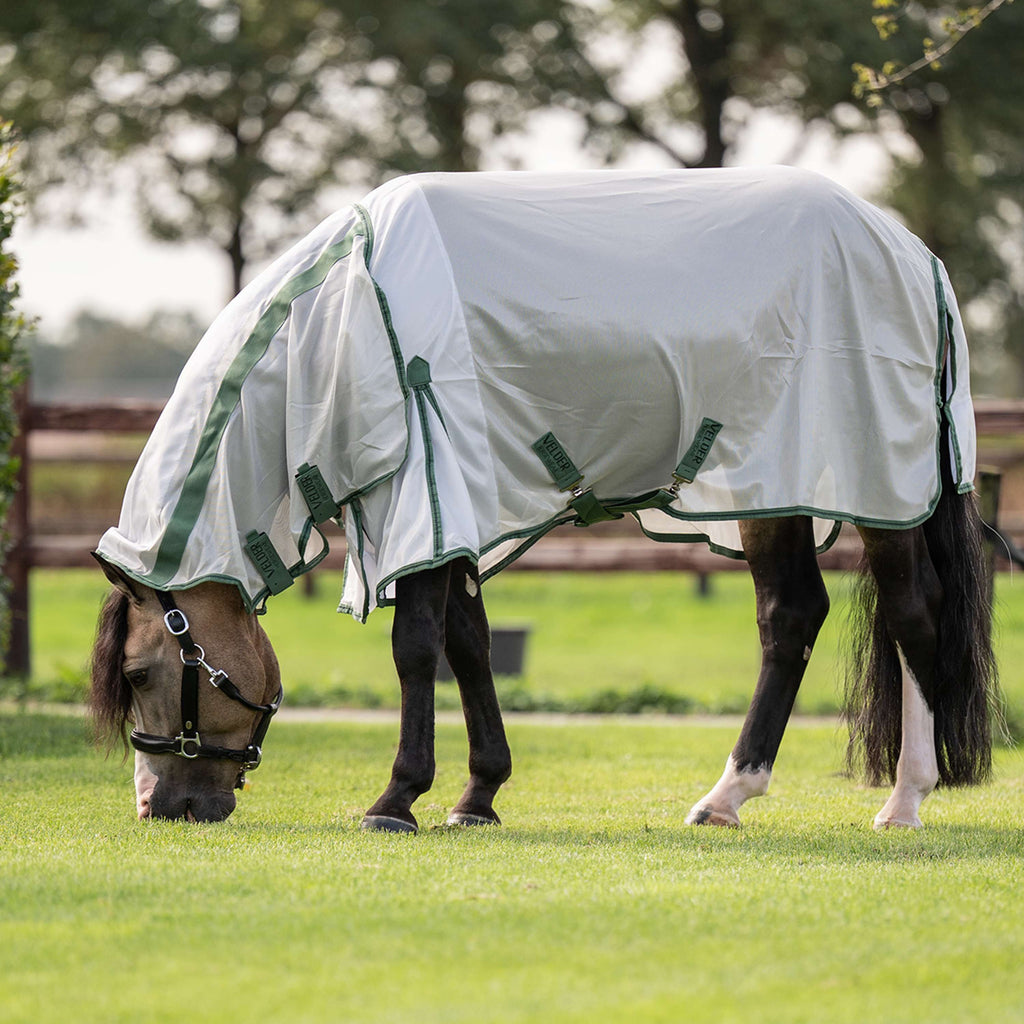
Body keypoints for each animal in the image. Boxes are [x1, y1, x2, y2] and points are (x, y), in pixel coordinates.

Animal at [89, 166, 996, 829]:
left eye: (138, 671)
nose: (157, 808)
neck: (347, 320)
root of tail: (914, 256)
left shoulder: (429, 493)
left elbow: (416, 647)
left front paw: (396, 800)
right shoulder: (455, 516)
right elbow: (468, 645)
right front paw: (477, 797)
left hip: (876, 487)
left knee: (912, 615)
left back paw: (905, 799)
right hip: (772, 491)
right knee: (792, 618)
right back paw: (726, 797)